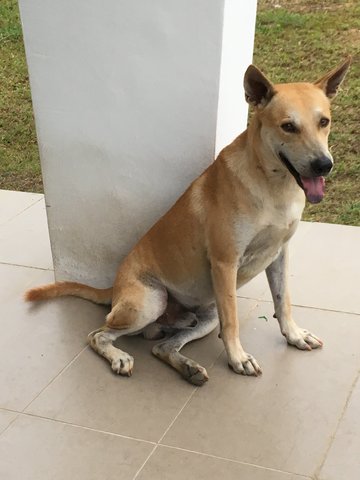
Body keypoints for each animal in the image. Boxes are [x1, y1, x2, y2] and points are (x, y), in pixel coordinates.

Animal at [23, 58, 350, 386]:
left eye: (324, 121)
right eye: (288, 126)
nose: (323, 165)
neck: (273, 184)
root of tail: (114, 288)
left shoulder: (279, 254)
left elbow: (283, 301)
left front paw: (293, 335)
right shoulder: (225, 262)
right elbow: (233, 321)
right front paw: (237, 357)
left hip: (205, 316)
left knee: (162, 347)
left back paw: (188, 367)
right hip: (150, 302)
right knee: (97, 334)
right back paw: (119, 357)